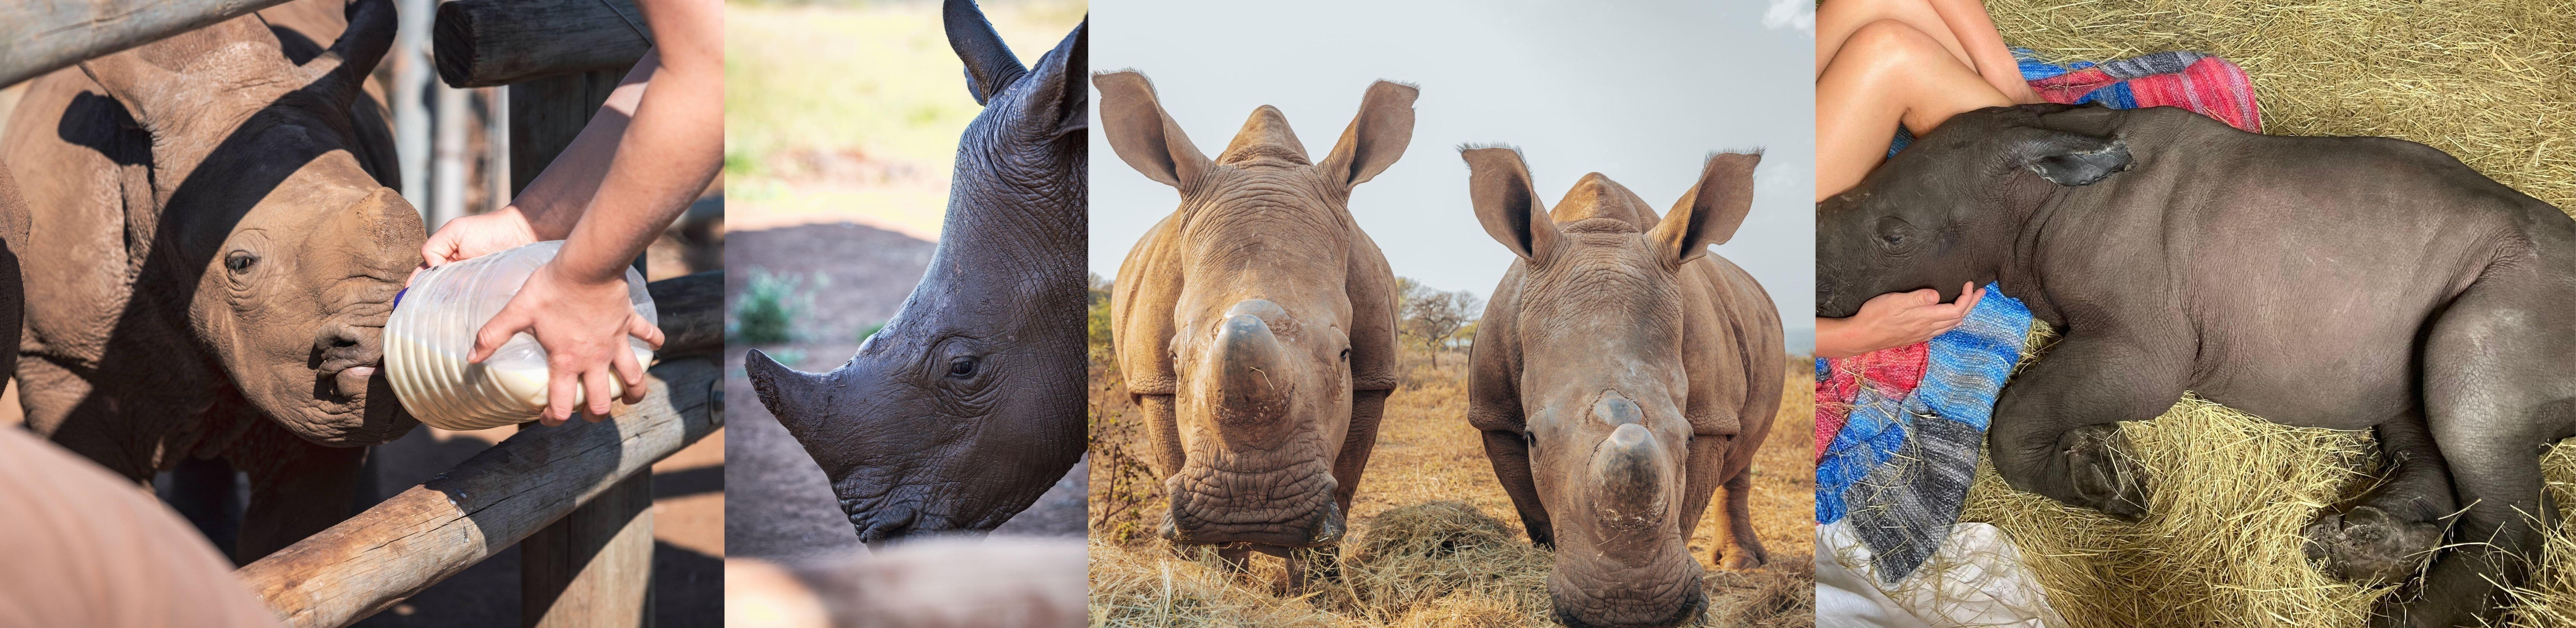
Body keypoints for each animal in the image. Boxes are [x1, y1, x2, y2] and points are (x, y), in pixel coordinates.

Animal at [1097, 70, 1412, 587]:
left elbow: (1345, 480)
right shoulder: (1153, 382)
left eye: (1345, 354)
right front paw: (1220, 578)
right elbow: (1173, 453)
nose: (1251, 508)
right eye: (1175, 357)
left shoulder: (1374, 379)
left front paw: (1317, 586)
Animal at [1464, 148, 1783, 628]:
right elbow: (1537, 512)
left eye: (1688, 438)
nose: (1628, 607)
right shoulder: (1495, 414)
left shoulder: (1711, 417)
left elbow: (1685, 505)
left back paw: (1740, 565)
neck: (1601, 232)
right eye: (1532, 438)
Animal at [1817, 102, 2576, 628]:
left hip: (2514, 305)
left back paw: (2407, 613)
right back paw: (2347, 547)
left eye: (1895, 236)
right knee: (2424, 431)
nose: (1815, 282)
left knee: (2474, 413)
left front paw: (2107, 486)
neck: (2040, 185)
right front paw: (2100, 459)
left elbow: (2020, 414)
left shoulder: (2146, 344)